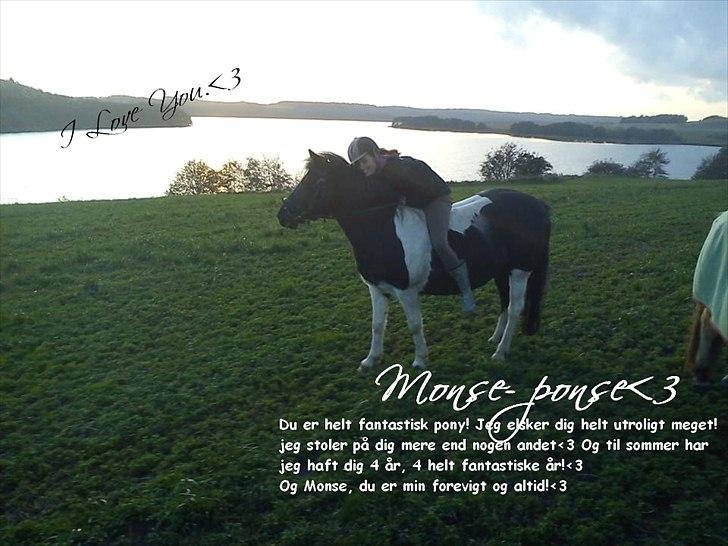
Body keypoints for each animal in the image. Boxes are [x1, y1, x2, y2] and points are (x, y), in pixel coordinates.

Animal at [277, 150, 551, 372]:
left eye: (318, 181)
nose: (283, 214)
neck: (383, 228)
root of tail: (537, 204)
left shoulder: (406, 292)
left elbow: (414, 325)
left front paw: (420, 360)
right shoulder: (376, 288)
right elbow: (377, 325)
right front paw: (370, 360)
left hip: (520, 271)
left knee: (515, 309)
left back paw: (501, 352)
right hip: (502, 271)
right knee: (505, 303)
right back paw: (495, 339)